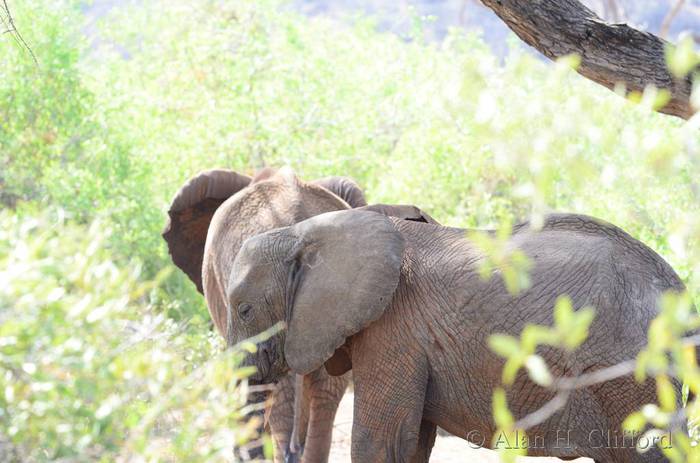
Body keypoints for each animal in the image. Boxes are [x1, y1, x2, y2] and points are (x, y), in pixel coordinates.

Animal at [224, 208, 690, 463]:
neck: (306, 231)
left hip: (633, 376)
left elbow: (381, 441)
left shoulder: (393, 328)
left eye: (244, 310)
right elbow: (412, 443)